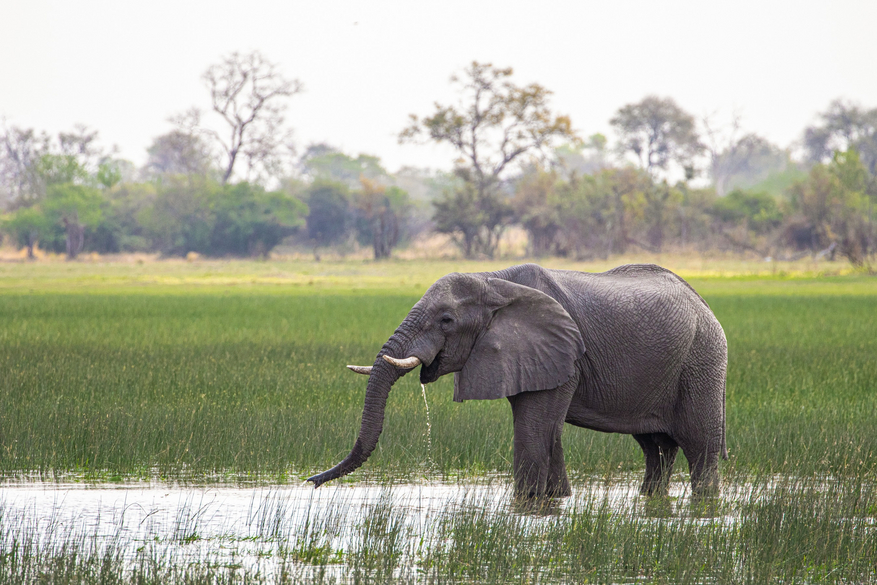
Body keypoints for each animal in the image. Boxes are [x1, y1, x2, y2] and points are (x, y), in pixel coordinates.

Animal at [308, 264, 724, 498]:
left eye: (446, 320)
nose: (312, 482)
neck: (493, 280)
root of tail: (704, 303)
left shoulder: (562, 354)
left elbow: (533, 430)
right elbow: (546, 432)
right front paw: (556, 499)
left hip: (703, 360)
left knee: (699, 447)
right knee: (656, 449)